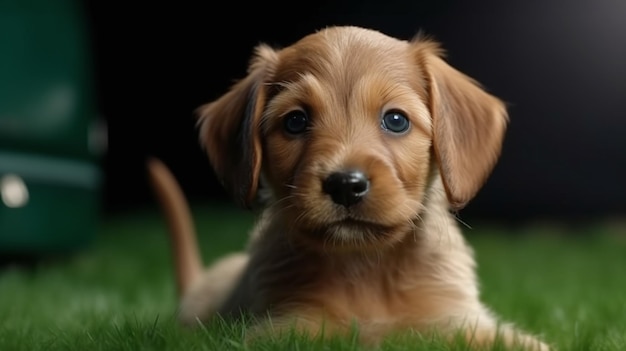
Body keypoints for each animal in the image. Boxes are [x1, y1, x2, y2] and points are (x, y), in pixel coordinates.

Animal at [149, 26, 548, 350]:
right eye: (295, 121)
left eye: (396, 120)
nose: (345, 185)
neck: (365, 267)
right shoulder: (285, 326)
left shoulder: (460, 322)